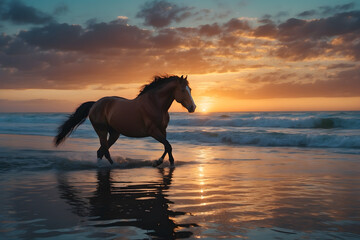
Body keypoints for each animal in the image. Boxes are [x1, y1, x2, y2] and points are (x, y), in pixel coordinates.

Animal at [53, 75, 195, 167]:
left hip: (114, 133)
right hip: (102, 131)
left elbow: (167, 146)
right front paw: (165, 162)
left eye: (191, 90)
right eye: (183, 90)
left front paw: (159, 162)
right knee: (104, 151)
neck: (155, 104)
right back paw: (113, 166)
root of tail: (95, 104)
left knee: (101, 151)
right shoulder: (153, 131)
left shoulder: (162, 130)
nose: (193, 107)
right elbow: (168, 146)